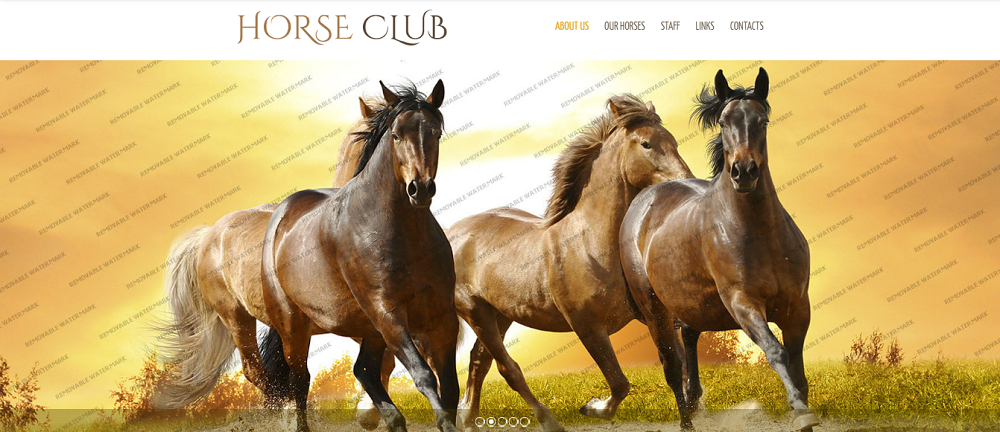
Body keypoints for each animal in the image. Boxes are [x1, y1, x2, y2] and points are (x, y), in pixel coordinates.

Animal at [261, 80, 461, 432]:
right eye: (396, 134)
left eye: (435, 133)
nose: (420, 189)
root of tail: (281, 215)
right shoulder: (389, 314)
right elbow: (424, 376)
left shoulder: (441, 316)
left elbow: (449, 385)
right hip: (294, 327)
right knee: (300, 381)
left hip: (369, 329)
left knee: (364, 370)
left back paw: (393, 420)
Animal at [445, 95, 693, 432]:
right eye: (646, 144)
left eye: (673, 141)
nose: (687, 182)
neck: (590, 244)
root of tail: (451, 233)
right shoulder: (586, 326)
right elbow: (619, 383)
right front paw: (592, 407)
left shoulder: (652, 314)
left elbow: (676, 366)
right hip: (476, 312)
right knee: (508, 368)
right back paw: (548, 420)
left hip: (500, 314)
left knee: (478, 362)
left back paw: (467, 418)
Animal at [619, 68, 820, 431]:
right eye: (724, 122)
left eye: (762, 121)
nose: (744, 172)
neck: (760, 233)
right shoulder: (742, 302)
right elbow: (777, 353)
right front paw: (799, 411)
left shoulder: (798, 307)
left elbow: (798, 370)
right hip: (655, 310)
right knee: (672, 367)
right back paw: (687, 420)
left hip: (691, 304)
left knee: (689, 342)